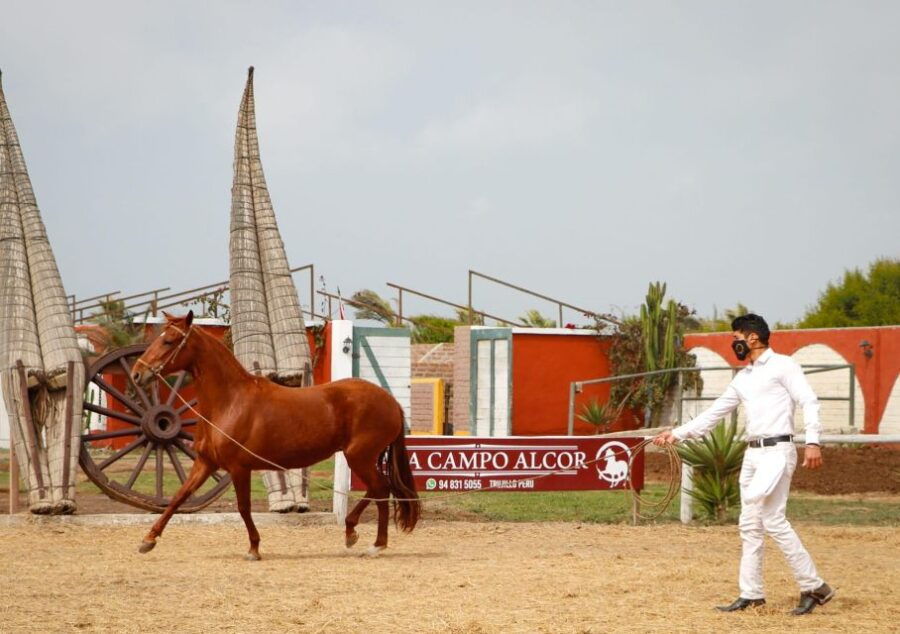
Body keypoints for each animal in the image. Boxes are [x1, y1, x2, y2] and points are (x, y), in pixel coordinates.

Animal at [132, 308, 420, 556]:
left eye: (169, 341)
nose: (137, 374)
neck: (230, 402)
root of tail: (391, 402)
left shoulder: (238, 467)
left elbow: (243, 508)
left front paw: (254, 548)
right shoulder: (206, 463)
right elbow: (178, 498)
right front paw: (148, 540)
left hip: (359, 456)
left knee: (380, 488)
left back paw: (369, 540)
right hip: (363, 457)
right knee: (379, 490)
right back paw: (365, 538)